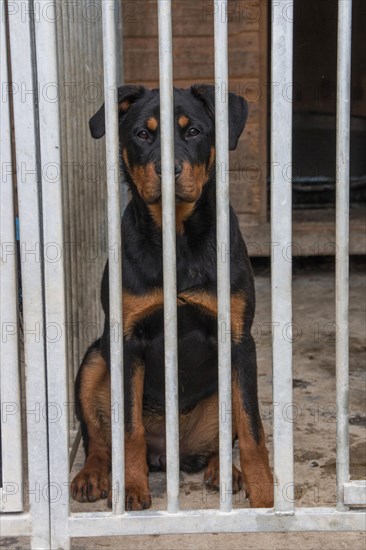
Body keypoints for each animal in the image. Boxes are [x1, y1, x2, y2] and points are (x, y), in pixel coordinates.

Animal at [71, 84, 274, 512]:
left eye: (193, 131)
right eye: (143, 135)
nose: (168, 170)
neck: (176, 237)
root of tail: (170, 453)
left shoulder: (238, 339)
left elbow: (251, 427)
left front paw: (265, 493)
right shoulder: (127, 341)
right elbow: (128, 429)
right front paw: (132, 488)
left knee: (226, 434)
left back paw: (224, 471)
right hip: (95, 359)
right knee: (99, 438)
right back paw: (92, 475)